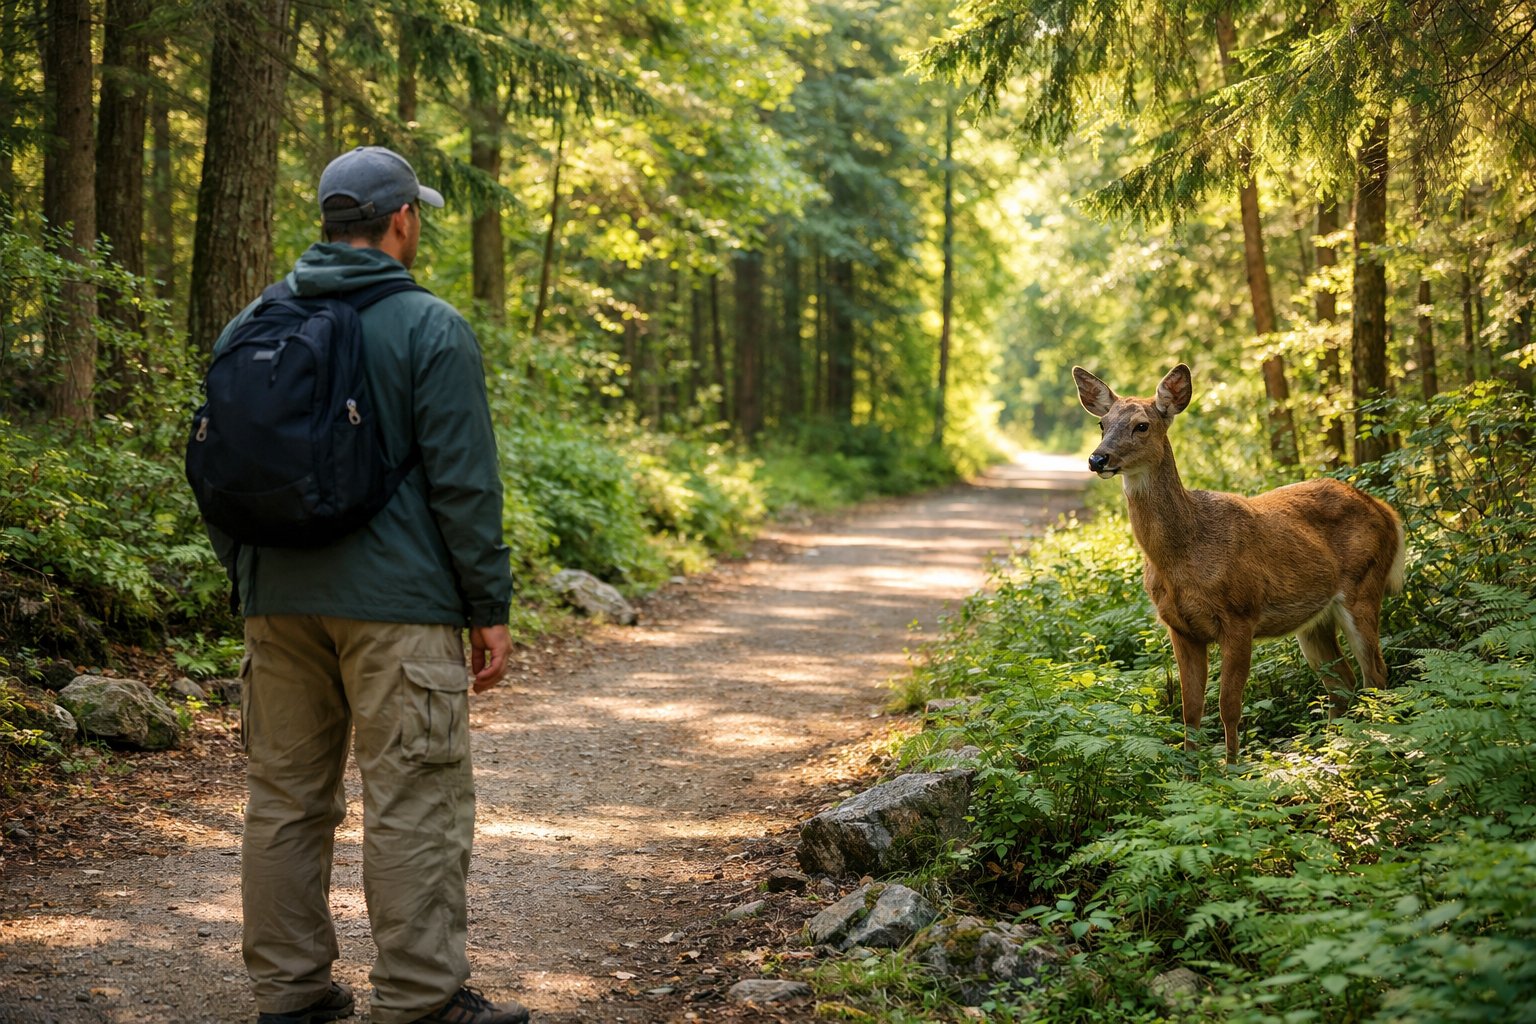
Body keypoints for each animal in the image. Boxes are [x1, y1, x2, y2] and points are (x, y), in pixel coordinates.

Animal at [1072, 363, 1406, 762]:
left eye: (1142, 425)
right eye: (1102, 424)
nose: (1098, 459)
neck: (1182, 555)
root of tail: (1387, 512)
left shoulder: (1241, 616)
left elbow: (1228, 706)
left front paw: (1233, 770)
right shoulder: (1179, 628)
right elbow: (1190, 710)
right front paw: (1191, 771)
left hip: (1364, 586)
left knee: (1377, 676)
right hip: (1314, 621)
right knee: (1342, 682)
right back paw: (1331, 753)